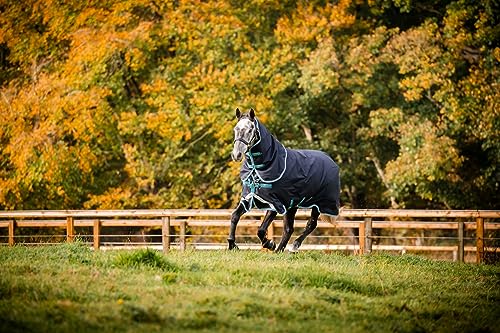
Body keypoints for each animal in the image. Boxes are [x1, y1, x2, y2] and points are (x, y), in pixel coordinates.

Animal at [227, 107, 340, 250]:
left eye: (250, 130)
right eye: (235, 129)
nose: (236, 155)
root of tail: (330, 160)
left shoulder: (275, 202)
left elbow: (261, 230)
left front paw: (269, 244)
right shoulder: (250, 197)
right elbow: (235, 216)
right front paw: (232, 244)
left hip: (319, 204)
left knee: (311, 224)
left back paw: (294, 246)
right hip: (293, 205)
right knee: (289, 229)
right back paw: (280, 250)